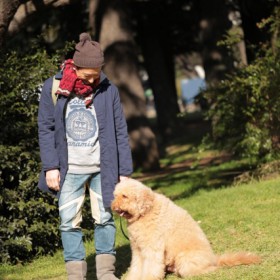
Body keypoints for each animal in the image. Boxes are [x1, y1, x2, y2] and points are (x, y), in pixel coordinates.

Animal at [111, 178, 260, 280]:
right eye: (115, 195)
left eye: (125, 196)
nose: (113, 206)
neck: (146, 212)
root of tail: (214, 259)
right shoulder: (137, 249)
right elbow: (136, 267)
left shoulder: (152, 248)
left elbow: (151, 268)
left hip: (185, 260)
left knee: (207, 269)